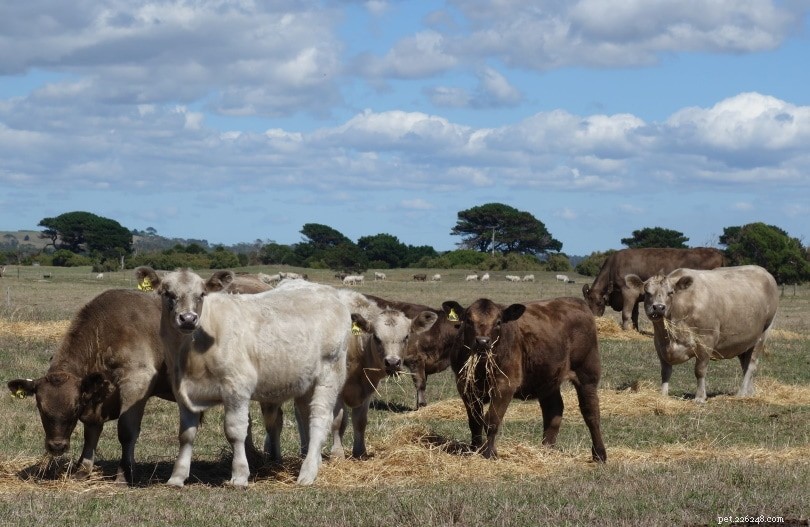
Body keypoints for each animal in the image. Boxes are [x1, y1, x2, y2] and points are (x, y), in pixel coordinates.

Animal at [134, 266, 350, 487]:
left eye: (201, 294)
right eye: (167, 293)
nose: (188, 318)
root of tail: (329, 292)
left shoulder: (237, 387)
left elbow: (235, 431)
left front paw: (239, 475)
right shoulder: (183, 392)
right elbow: (186, 435)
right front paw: (177, 476)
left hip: (329, 374)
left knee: (320, 419)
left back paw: (307, 473)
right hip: (305, 383)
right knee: (305, 416)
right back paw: (313, 462)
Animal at [331, 290, 437, 458]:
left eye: (406, 337)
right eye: (376, 337)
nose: (392, 363)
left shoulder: (367, 388)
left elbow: (360, 421)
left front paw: (360, 452)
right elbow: (338, 422)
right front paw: (337, 454)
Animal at [441, 297, 606, 462]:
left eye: (498, 322)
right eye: (468, 320)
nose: (482, 341)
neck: (482, 367)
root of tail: (575, 301)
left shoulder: (505, 385)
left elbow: (492, 421)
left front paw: (489, 453)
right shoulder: (465, 386)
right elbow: (475, 422)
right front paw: (475, 449)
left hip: (587, 374)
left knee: (591, 413)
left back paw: (599, 454)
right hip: (547, 379)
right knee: (553, 410)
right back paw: (546, 450)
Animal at [582, 247, 725, 331]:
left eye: (599, 303)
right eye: (587, 304)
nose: (593, 321)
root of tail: (717, 252)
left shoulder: (628, 291)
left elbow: (626, 313)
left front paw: (626, 330)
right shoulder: (636, 295)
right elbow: (634, 315)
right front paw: (635, 330)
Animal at [625, 265, 778, 403]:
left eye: (671, 292)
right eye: (647, 292)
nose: (658, 307)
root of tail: (764, 271)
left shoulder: (706, 341)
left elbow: (699, 370)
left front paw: (699, 397)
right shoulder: (660, 344)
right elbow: (665, 371)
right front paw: (663, 395)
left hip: (764, 332)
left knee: (751, 364)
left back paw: (741, 393)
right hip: (744, 341)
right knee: (745, 363)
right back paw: (749, 392)